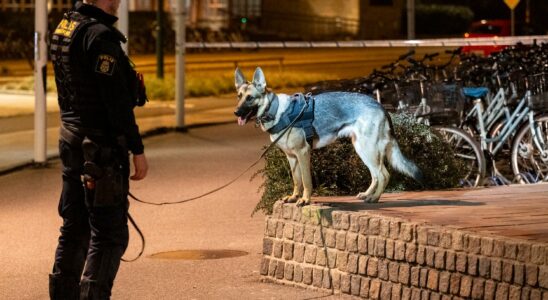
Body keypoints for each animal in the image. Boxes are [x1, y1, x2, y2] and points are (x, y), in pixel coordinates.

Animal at [235, 67, 424, 206]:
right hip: (362, 149)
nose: (235, 112)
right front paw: (294, 197)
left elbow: (306, 181)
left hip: (367, 149)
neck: (274, 110)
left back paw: (374, 198)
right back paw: (367, 194)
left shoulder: (303, 153)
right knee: (376, 175)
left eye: (250, 98)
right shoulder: (291, 157)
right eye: (239, 96)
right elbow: (297, 181)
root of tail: (380, 105)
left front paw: (305, 200)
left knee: (383, 174)